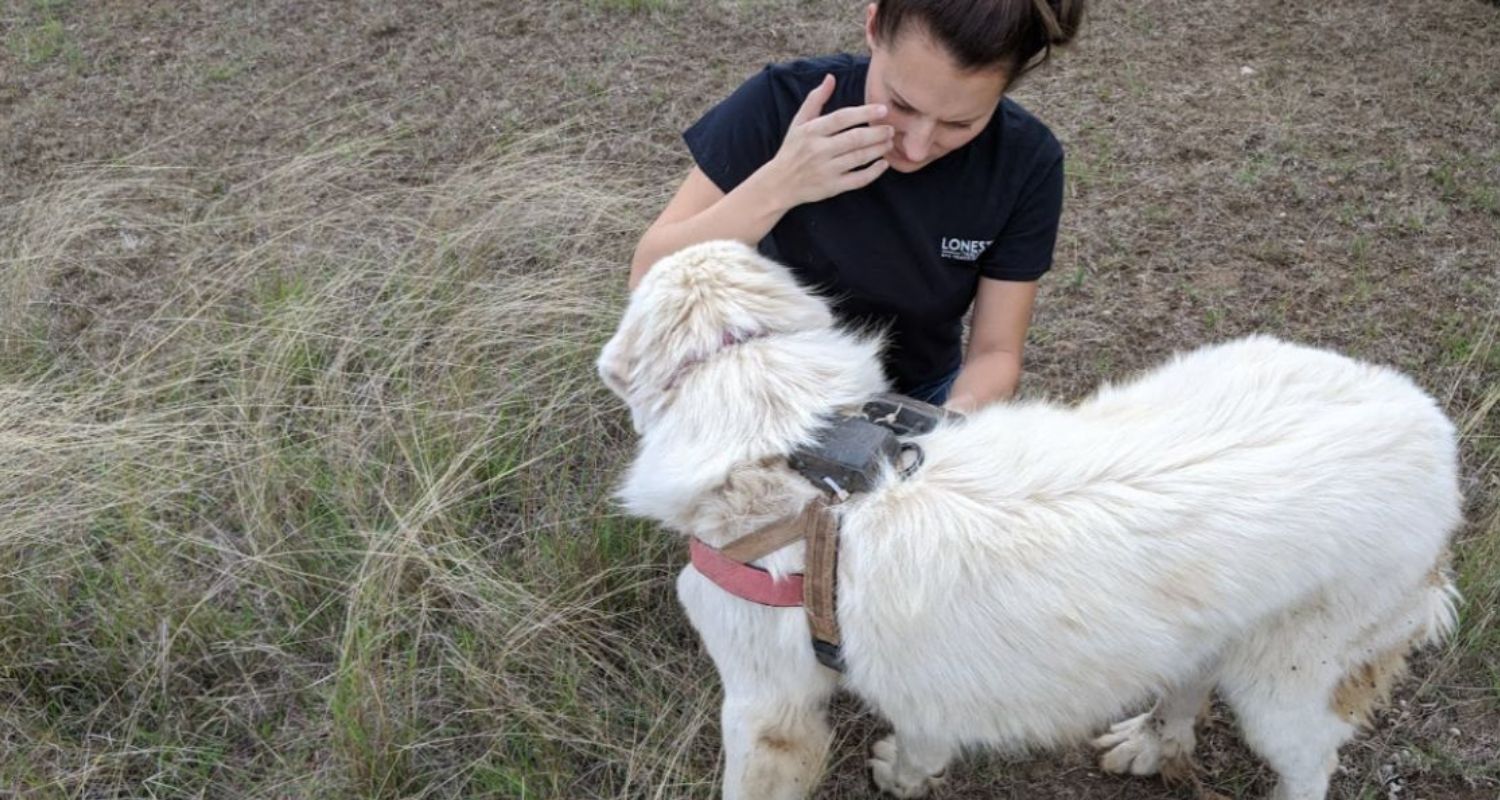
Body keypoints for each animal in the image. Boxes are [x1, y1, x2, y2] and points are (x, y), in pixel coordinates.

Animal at [591, 240, 1458, 792]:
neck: (795, 439)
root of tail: (1432, 428)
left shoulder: (767, 712)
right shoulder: (923, 680)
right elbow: (923, 737)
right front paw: (908, 775)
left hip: (1288, 692)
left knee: (1312, 765)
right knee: (1187, 690)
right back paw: (1149, 744)